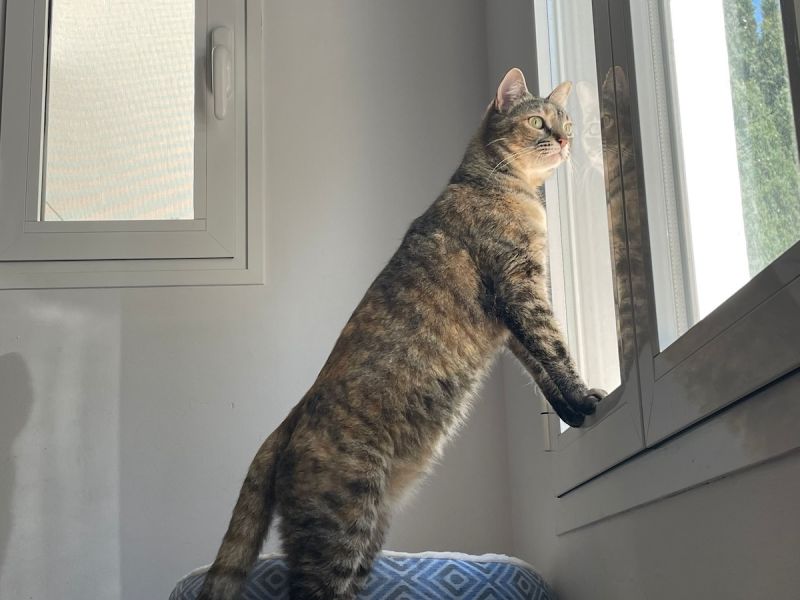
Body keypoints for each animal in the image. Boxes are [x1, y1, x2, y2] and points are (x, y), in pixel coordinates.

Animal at [198, 67, 606, 600]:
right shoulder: (521, 289)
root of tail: (284, 425)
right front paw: (586, 397)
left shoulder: (513, 319)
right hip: (339, 529)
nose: (564, 139)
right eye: (537, 120)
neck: (507, 188)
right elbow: (554, 349)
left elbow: (540, 369)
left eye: (566, 121)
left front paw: (572, 410)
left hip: (368, 534)